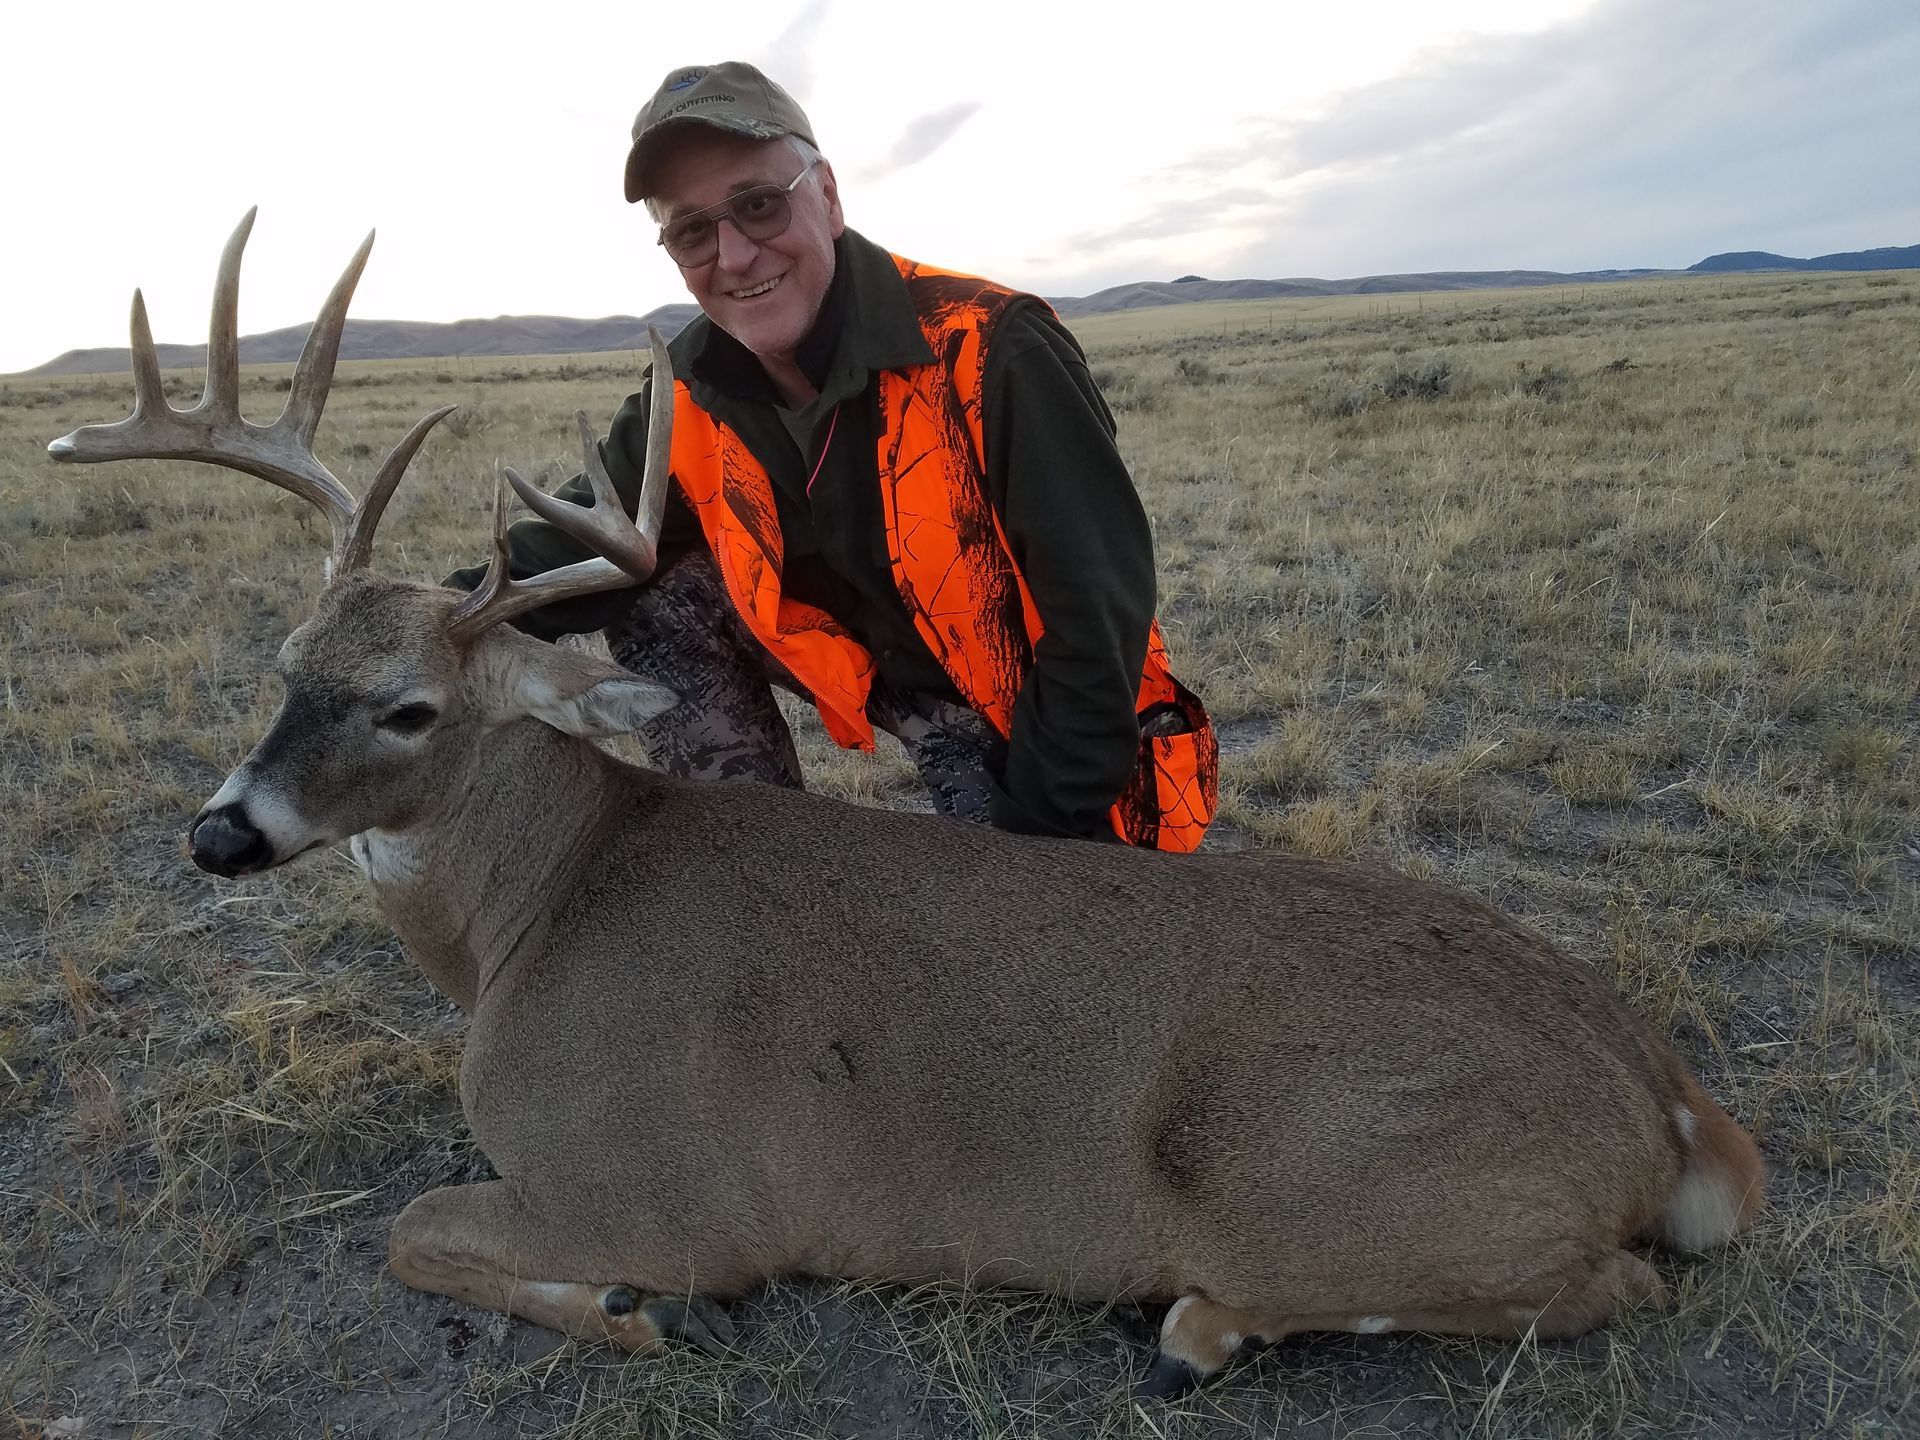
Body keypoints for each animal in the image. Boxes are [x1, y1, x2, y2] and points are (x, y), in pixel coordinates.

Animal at [48, 212, 1765, 1398]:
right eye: (282, 664)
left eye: (409, 707)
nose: (220, 832)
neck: (533, 920)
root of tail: (1668, 1094)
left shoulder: (659, 1192)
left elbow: (410, 1233)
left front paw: (633, 1317)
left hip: (1297, 1167)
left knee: (1605, 1289)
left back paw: (1199, 1329)